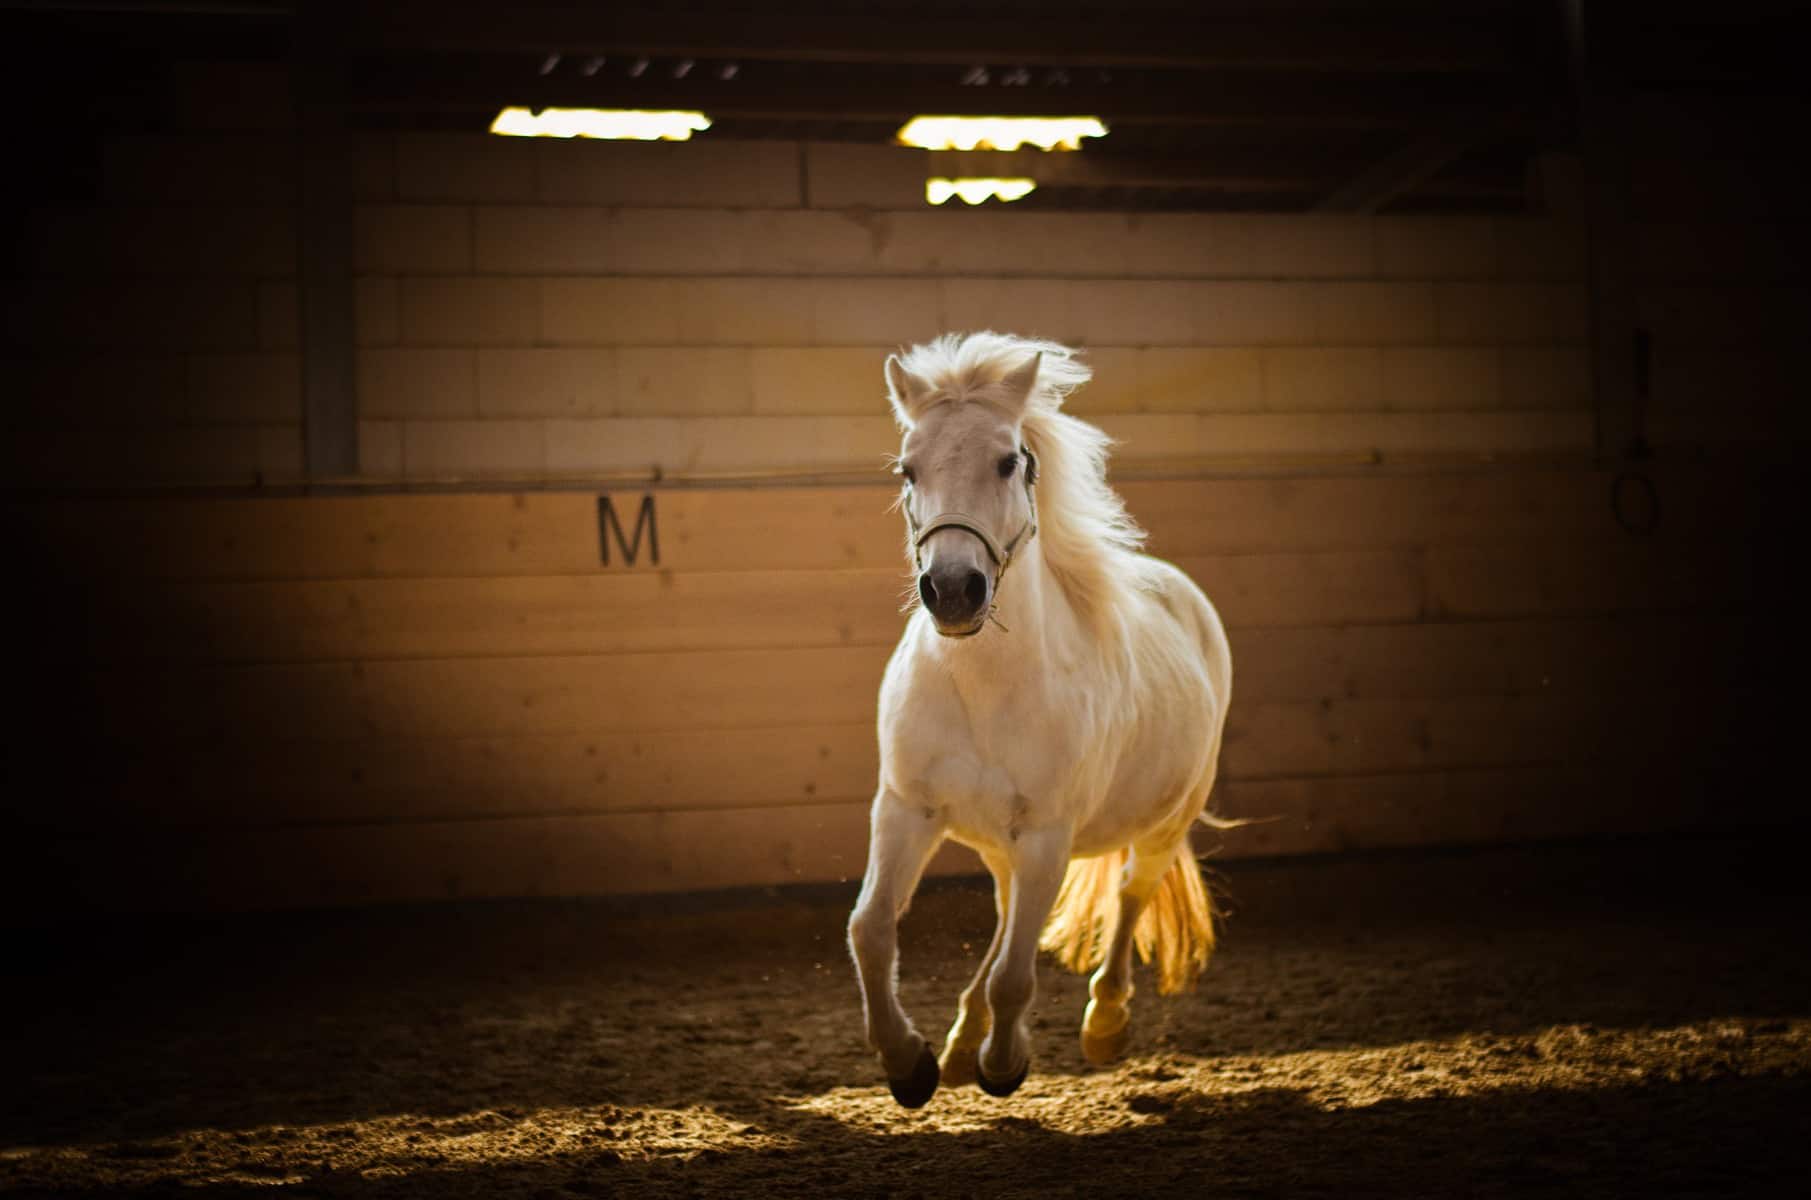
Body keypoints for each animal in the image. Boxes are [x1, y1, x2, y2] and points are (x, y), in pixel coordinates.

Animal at [847, 331, 1235, 1108]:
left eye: (1008, 460)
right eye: (908, 467)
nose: (953, 591)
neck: (983, 689)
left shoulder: (1050, 834)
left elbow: (1015, 976)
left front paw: (1003, 1065)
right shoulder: (905, 809)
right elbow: (871, 930)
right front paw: (909, 1064)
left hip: (1162, 821)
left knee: (1128, 894)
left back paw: (1104, 1024)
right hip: (1004, 845)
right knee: (1004, 917)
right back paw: (960, 1043)